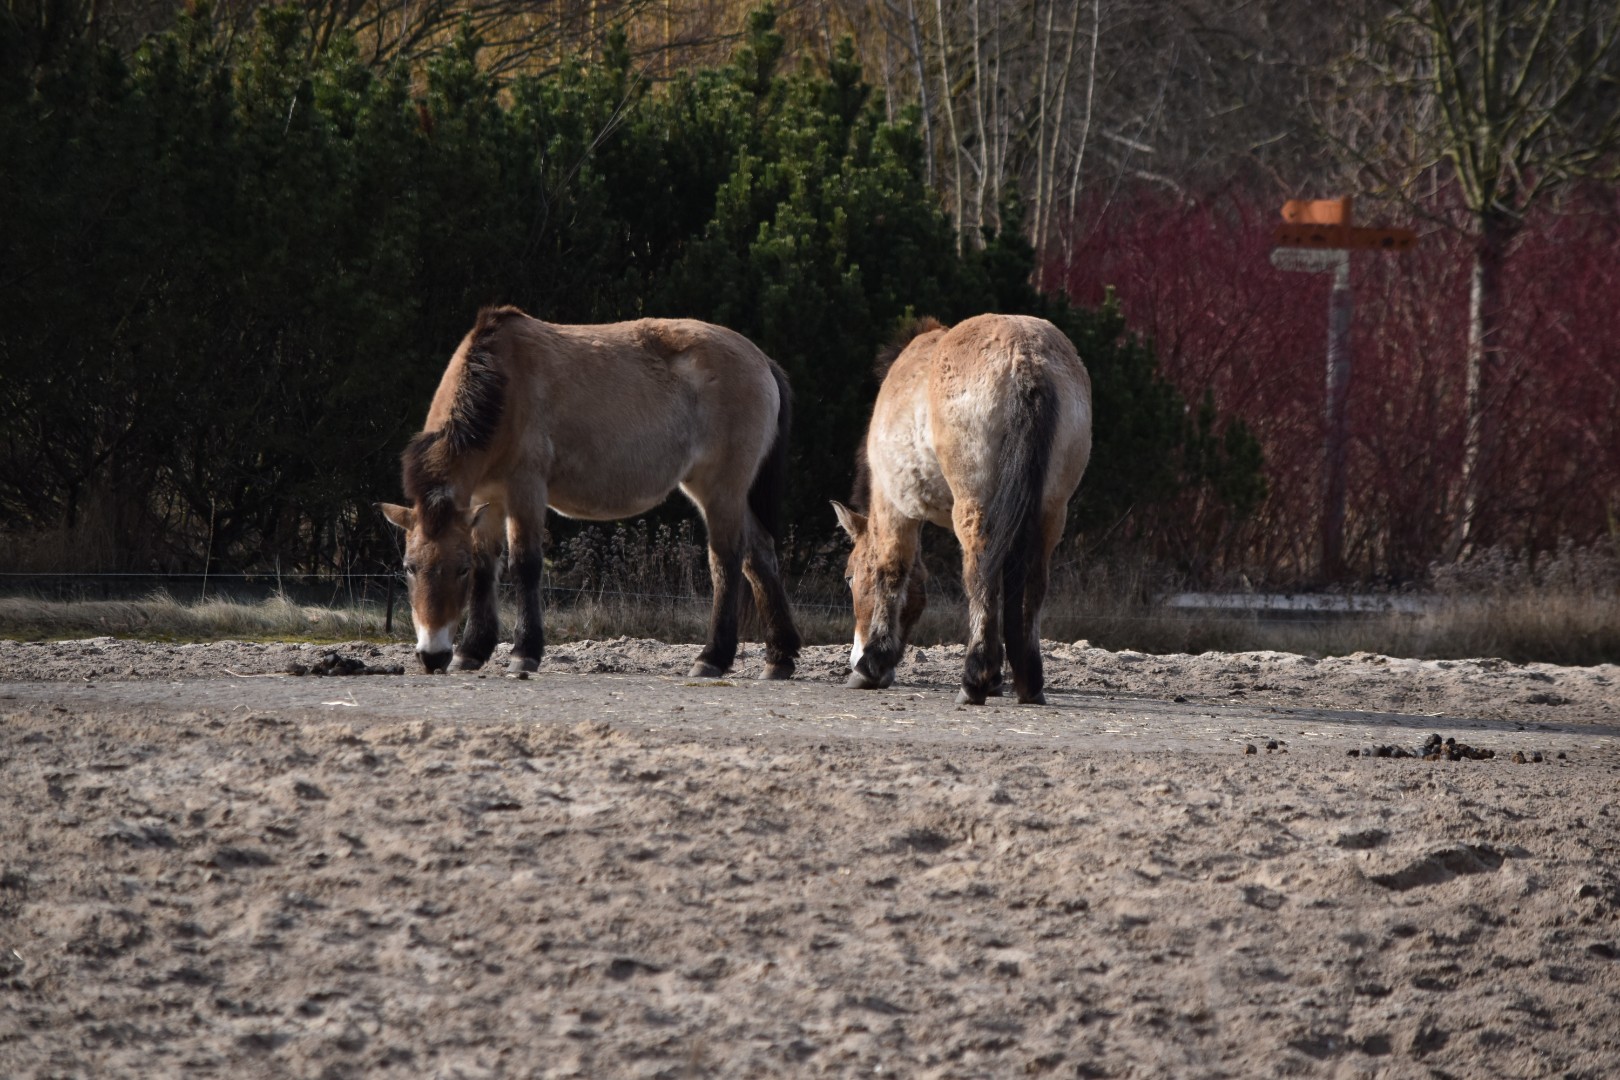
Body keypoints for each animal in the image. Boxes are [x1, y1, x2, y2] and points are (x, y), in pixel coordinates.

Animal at [377, 306, 802, 679]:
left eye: (458, 569)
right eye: (409, 567)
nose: (432, 655)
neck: (503, 384)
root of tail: (762, 361)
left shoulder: (525, 489)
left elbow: (524, 565)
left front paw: (524, 653)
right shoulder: (487, 499)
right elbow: (488, 566)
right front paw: (472, 651)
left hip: (720, 489)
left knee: (727, 561)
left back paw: (712, 658)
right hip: (725, 494)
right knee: (759, 556)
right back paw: (779, 658)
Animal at [832, 313, 1092, 705]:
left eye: (849, 577)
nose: (854, 655)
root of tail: (1026, 359)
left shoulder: (893, 505)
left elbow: (891, 571)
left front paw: (872, 664)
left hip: (974, 506)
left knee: (981, 574)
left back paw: (974, 677)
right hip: (1050, 510)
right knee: (1032, 583)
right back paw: (1028, 682)